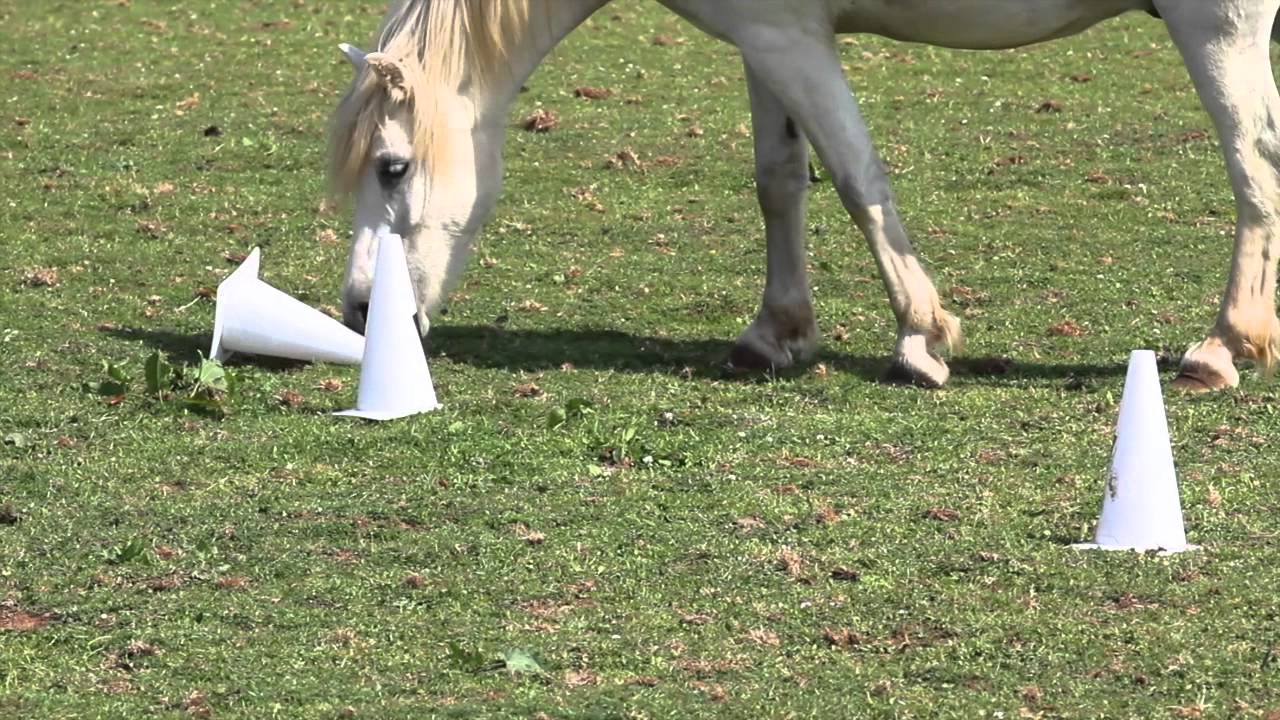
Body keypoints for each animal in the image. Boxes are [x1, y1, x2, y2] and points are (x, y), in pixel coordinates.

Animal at [330, 0, 1280, 391]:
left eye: (392, 168)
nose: (360, 310)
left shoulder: (792, 40)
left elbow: (860, 179)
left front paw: (920, 339)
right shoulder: (765, 40)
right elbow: (780, 180)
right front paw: (775, 332)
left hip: (1217, 30)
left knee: (1254, 169)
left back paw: (1223, 347)